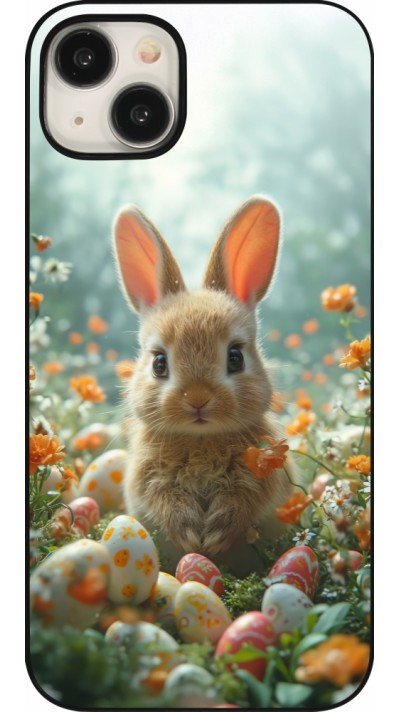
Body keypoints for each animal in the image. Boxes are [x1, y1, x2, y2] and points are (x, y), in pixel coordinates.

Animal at [113, 196, 293, 575]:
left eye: (235, 357)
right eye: (159, 363)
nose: (197, 399)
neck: (200, 439)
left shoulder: (262, 474)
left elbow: (243, 500)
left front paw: (215, 535)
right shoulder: (148, 478)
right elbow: (164, 500)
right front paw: (191, 535)